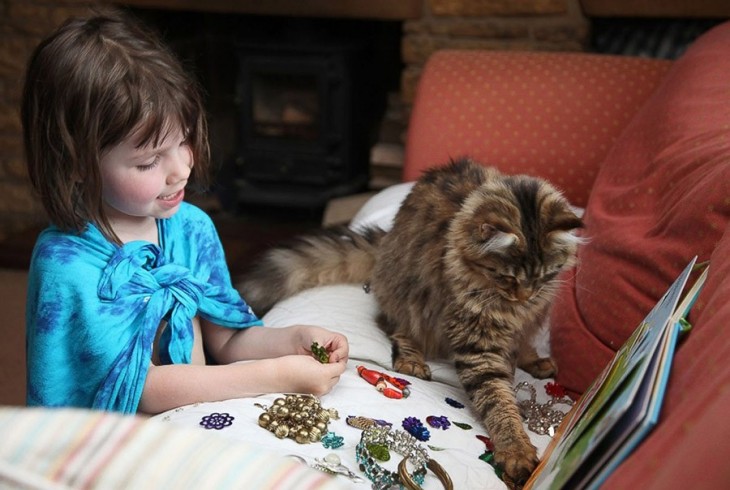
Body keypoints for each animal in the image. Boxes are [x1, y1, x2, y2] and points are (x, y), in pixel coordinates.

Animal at [237, 158, 580, 486]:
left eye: (543, 276)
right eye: (507, 277)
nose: (525, 295)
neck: (507, 308)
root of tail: (387, 240)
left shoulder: (532, 315)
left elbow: (522, 346)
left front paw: (531, 359)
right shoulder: (477, 342)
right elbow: (498, 398)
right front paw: (516, 449)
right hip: (409, 293)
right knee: (394, 325)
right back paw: (412, 361)